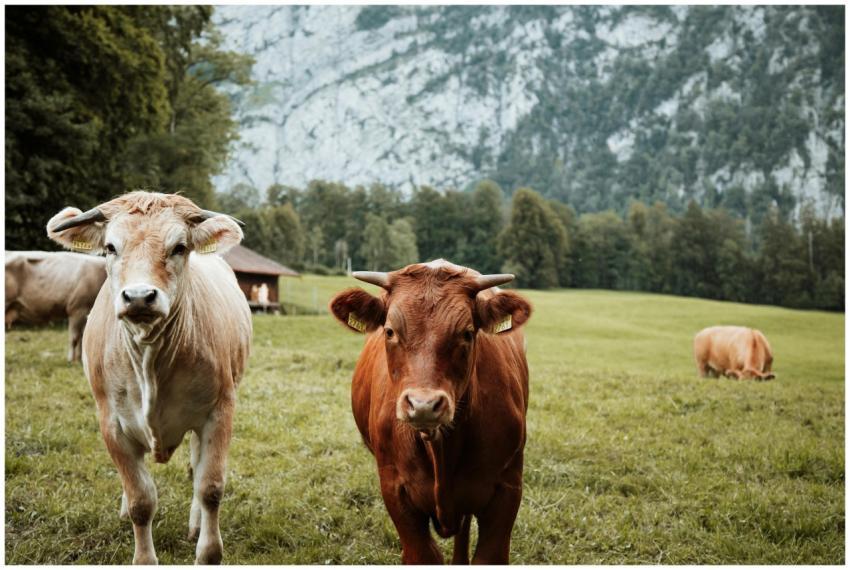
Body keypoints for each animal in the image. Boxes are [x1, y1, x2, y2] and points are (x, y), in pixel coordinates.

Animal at [46, 191, 252, 564]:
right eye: (110, 247)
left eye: (179, 247)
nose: (140, 296)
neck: (149, 356)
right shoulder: (111, 423)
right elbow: (141, 500)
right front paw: (143, 552)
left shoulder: (219, 411)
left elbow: (210, 486)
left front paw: (208, 551)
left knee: (197, 468)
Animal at [329, 259, 532, 564]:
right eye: (390, 331)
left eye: (467, 333)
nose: (423, 405)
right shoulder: (395, 489)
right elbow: (422, 554)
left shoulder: (507, 488)